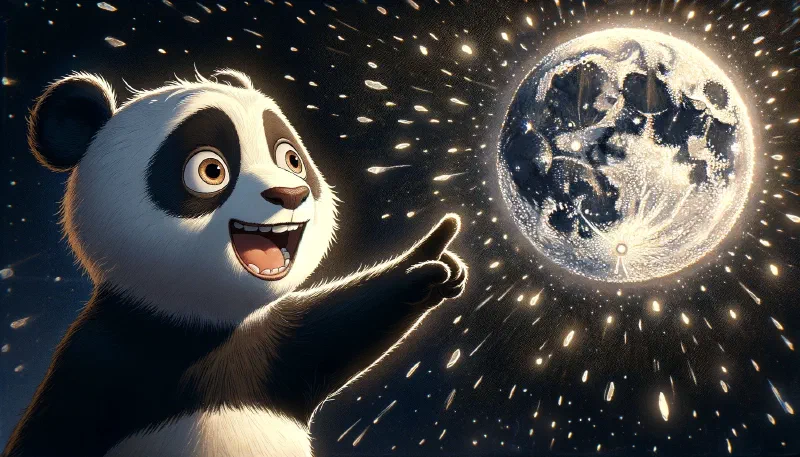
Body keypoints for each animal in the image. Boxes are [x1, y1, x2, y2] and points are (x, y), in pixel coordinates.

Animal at [3, 69, 467, 457]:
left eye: (292, 159)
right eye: (211, 170)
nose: (291, 193)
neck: (198, 323)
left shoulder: (268, 352)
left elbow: (338, 329)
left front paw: (430, 266)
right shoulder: (100, 362)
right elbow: (53, 433)